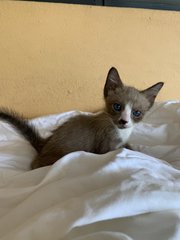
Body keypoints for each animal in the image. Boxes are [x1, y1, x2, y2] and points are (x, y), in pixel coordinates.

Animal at [0, 67, 164, 169]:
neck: (121, 132)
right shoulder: (106, 149)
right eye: (117, 107)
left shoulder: (124, 141)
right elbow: (121, 151)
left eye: (136, 113)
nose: (124, 121)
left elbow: (131, 147)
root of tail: (45, 143)